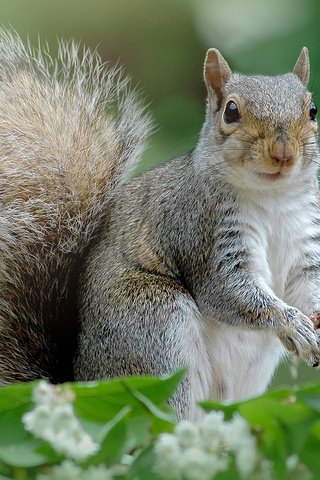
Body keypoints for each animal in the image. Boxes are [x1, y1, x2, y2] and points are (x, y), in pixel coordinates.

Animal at [0, 30, 320, 420]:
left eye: (312, 110)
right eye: (231, 111)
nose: (283, 152)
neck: (271, 198)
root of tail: (80, 384)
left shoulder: (305, 242)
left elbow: (306, 285)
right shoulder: (200, 230)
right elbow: (229, 292)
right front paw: (292, 323)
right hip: (153, 326)